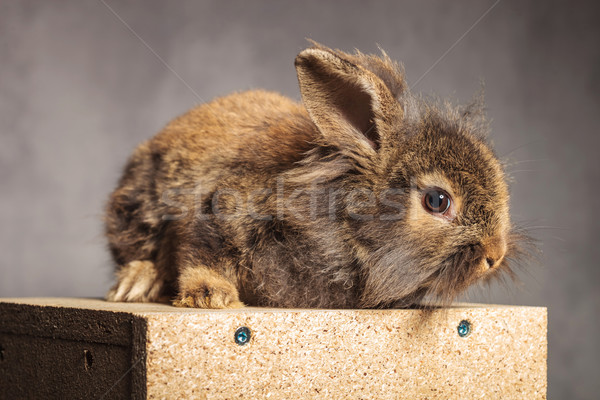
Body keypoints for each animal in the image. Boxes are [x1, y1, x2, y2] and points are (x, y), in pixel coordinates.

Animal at [104, 41, 524, 310]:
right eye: (437, 201)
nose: (495, 255)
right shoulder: (218, 211)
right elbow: (202, 254)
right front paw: (211, 297)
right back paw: (135, 284)